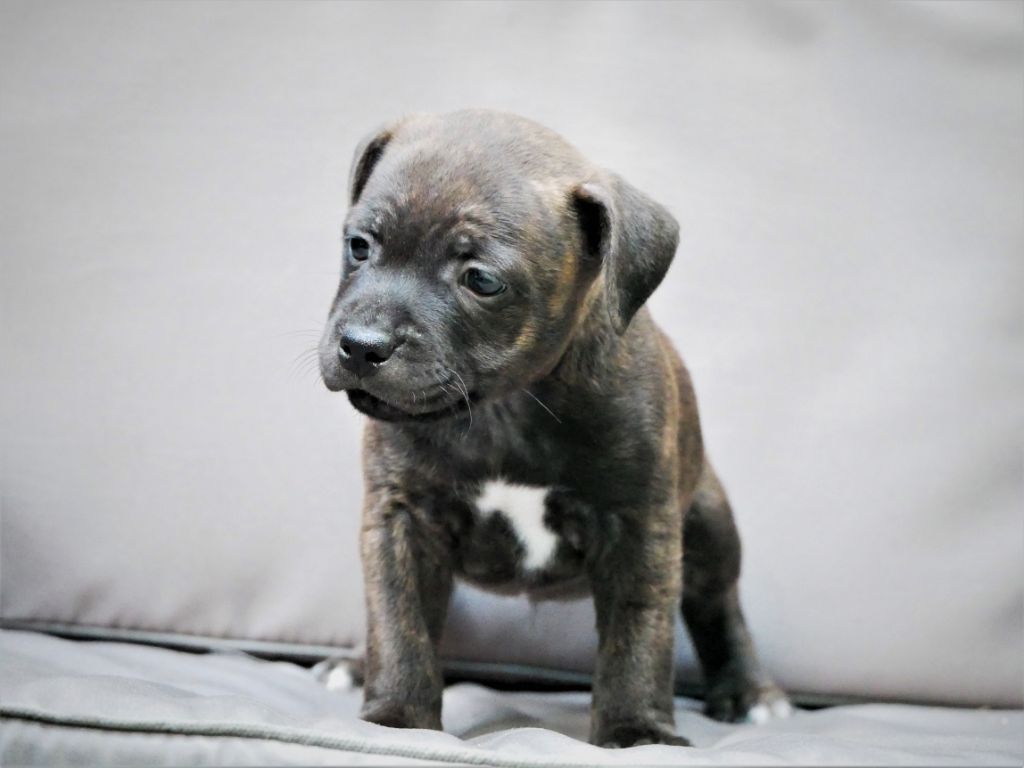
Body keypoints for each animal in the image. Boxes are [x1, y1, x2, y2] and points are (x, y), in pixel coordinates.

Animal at [318, 110, 789, 747]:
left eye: (481, 281)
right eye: (359, 246)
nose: (362, 346)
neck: (504, 406)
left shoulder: (639, 528)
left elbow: (638, 638)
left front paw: (636, 733)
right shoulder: (401, 518)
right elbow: (399, 620)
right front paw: (397, 721)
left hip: (710, 525)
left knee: (717, 603)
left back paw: (748, 691)